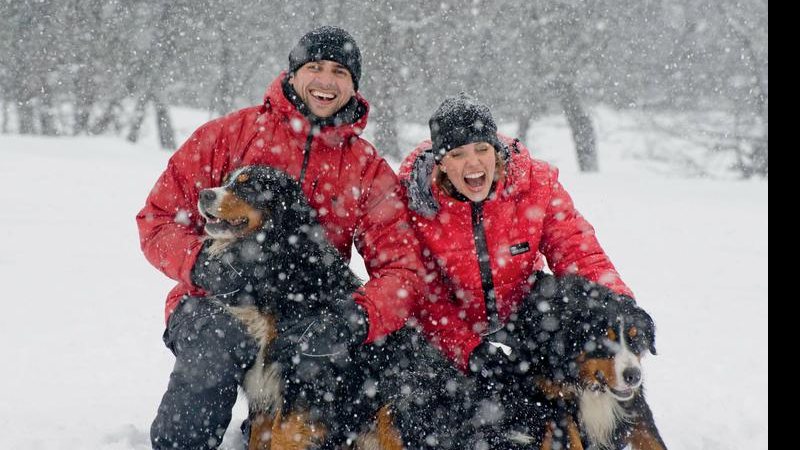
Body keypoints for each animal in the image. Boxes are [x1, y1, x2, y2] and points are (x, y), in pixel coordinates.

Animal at [196, 165, 466, 450]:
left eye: (248, 186)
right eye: (227, 181)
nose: (204, 194)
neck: (280, 264)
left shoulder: (305, 382)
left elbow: (282, 437)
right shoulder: (263, 386)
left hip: (400, 402)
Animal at [512, 274, 668, 450]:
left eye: (636, 338)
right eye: (605, 342)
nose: (634, 376)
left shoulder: (634, 403)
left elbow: (653, 440)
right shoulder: (555, 400)